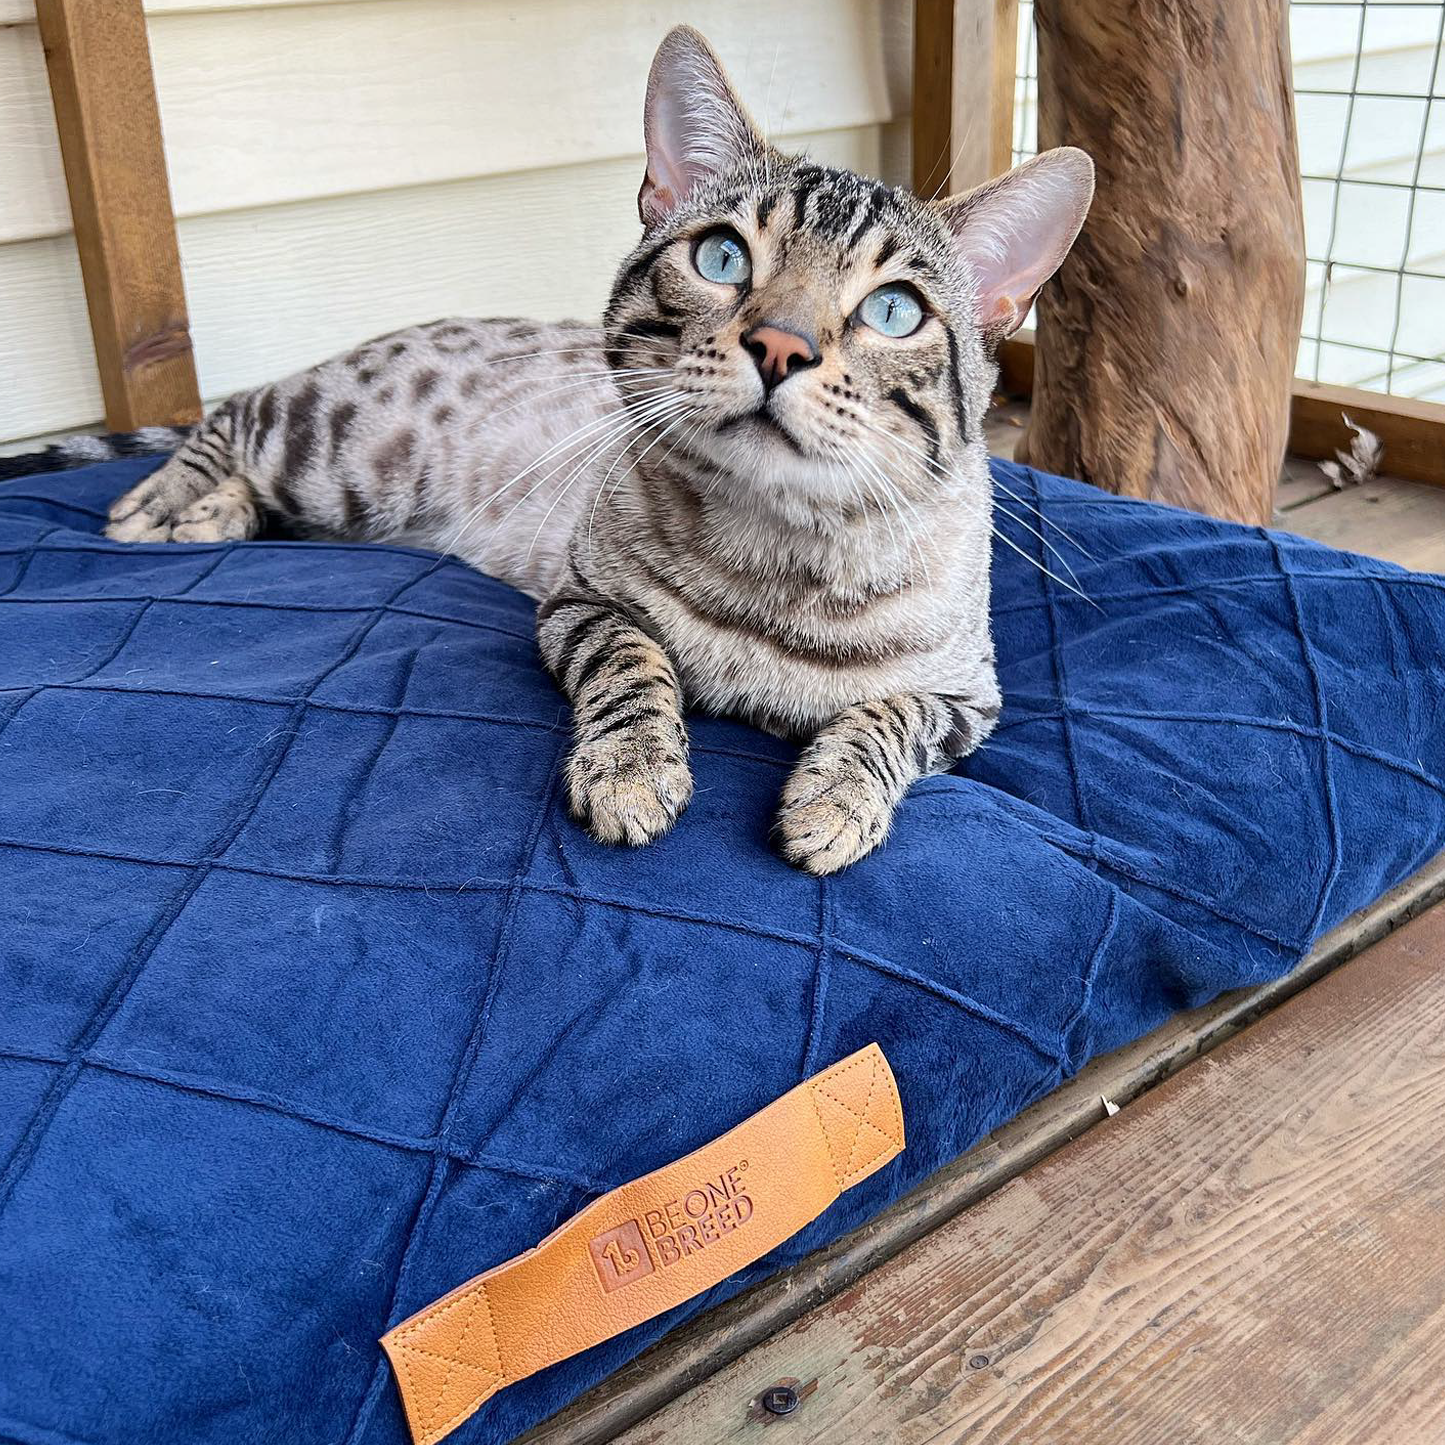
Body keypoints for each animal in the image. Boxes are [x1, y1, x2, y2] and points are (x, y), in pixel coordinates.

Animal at [104, 28, 1092, 872]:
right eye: (723, 257)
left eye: (892, 310)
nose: (780, 346)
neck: (775, 554)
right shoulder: (579, 602)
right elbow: (635, 666)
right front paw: (632, 774)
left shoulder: (968, 700)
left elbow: (883, 719)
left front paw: (831, 805)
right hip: (336, 456)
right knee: (234, 413)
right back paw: (159, 506)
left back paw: (210, 517)